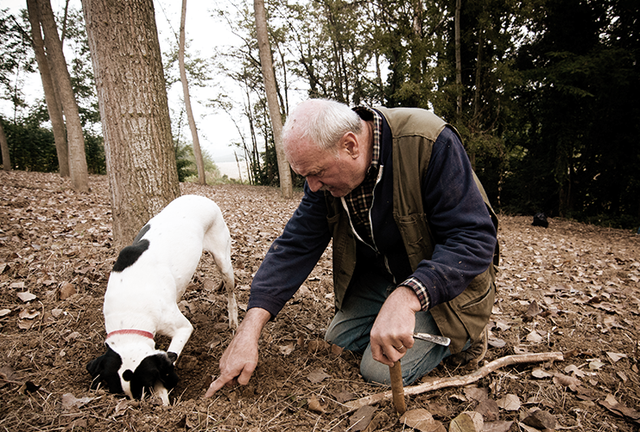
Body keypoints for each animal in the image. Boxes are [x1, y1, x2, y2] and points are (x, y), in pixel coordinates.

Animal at [87, 195, 238, 404]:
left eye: (145, 386)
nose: (139, 404)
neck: (130, 309)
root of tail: (201, 196)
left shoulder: (182, 328)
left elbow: (171, 357)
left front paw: (162, 394)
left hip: (223, 259)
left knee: (231, 290)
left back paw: (233, 320)